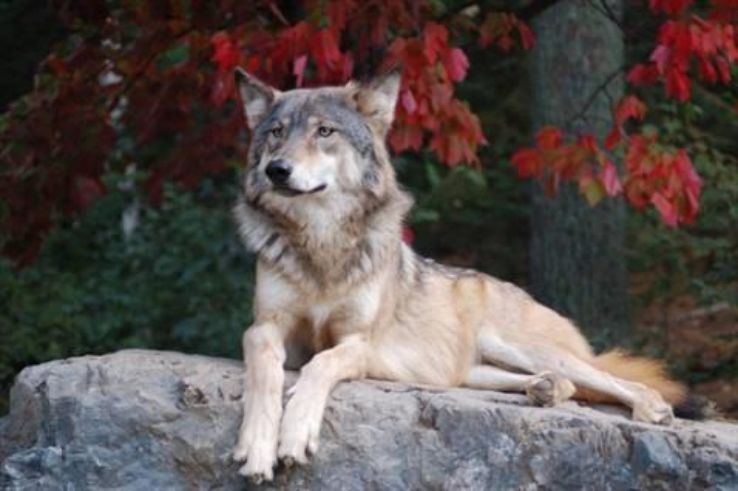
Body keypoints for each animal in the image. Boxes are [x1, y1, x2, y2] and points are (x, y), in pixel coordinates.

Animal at [231, 67, 696, 482]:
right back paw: (546, 389)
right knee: (563, 385)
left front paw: (294, 435)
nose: (277, 169)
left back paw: (650, 407)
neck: (321, 242)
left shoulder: (358, 342)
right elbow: (266, 373)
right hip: (474, 371)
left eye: (325, 131)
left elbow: (319, 366)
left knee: (614, 380)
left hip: (523, 347)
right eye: (276, 132)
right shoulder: (263, 328)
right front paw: (257, 446)